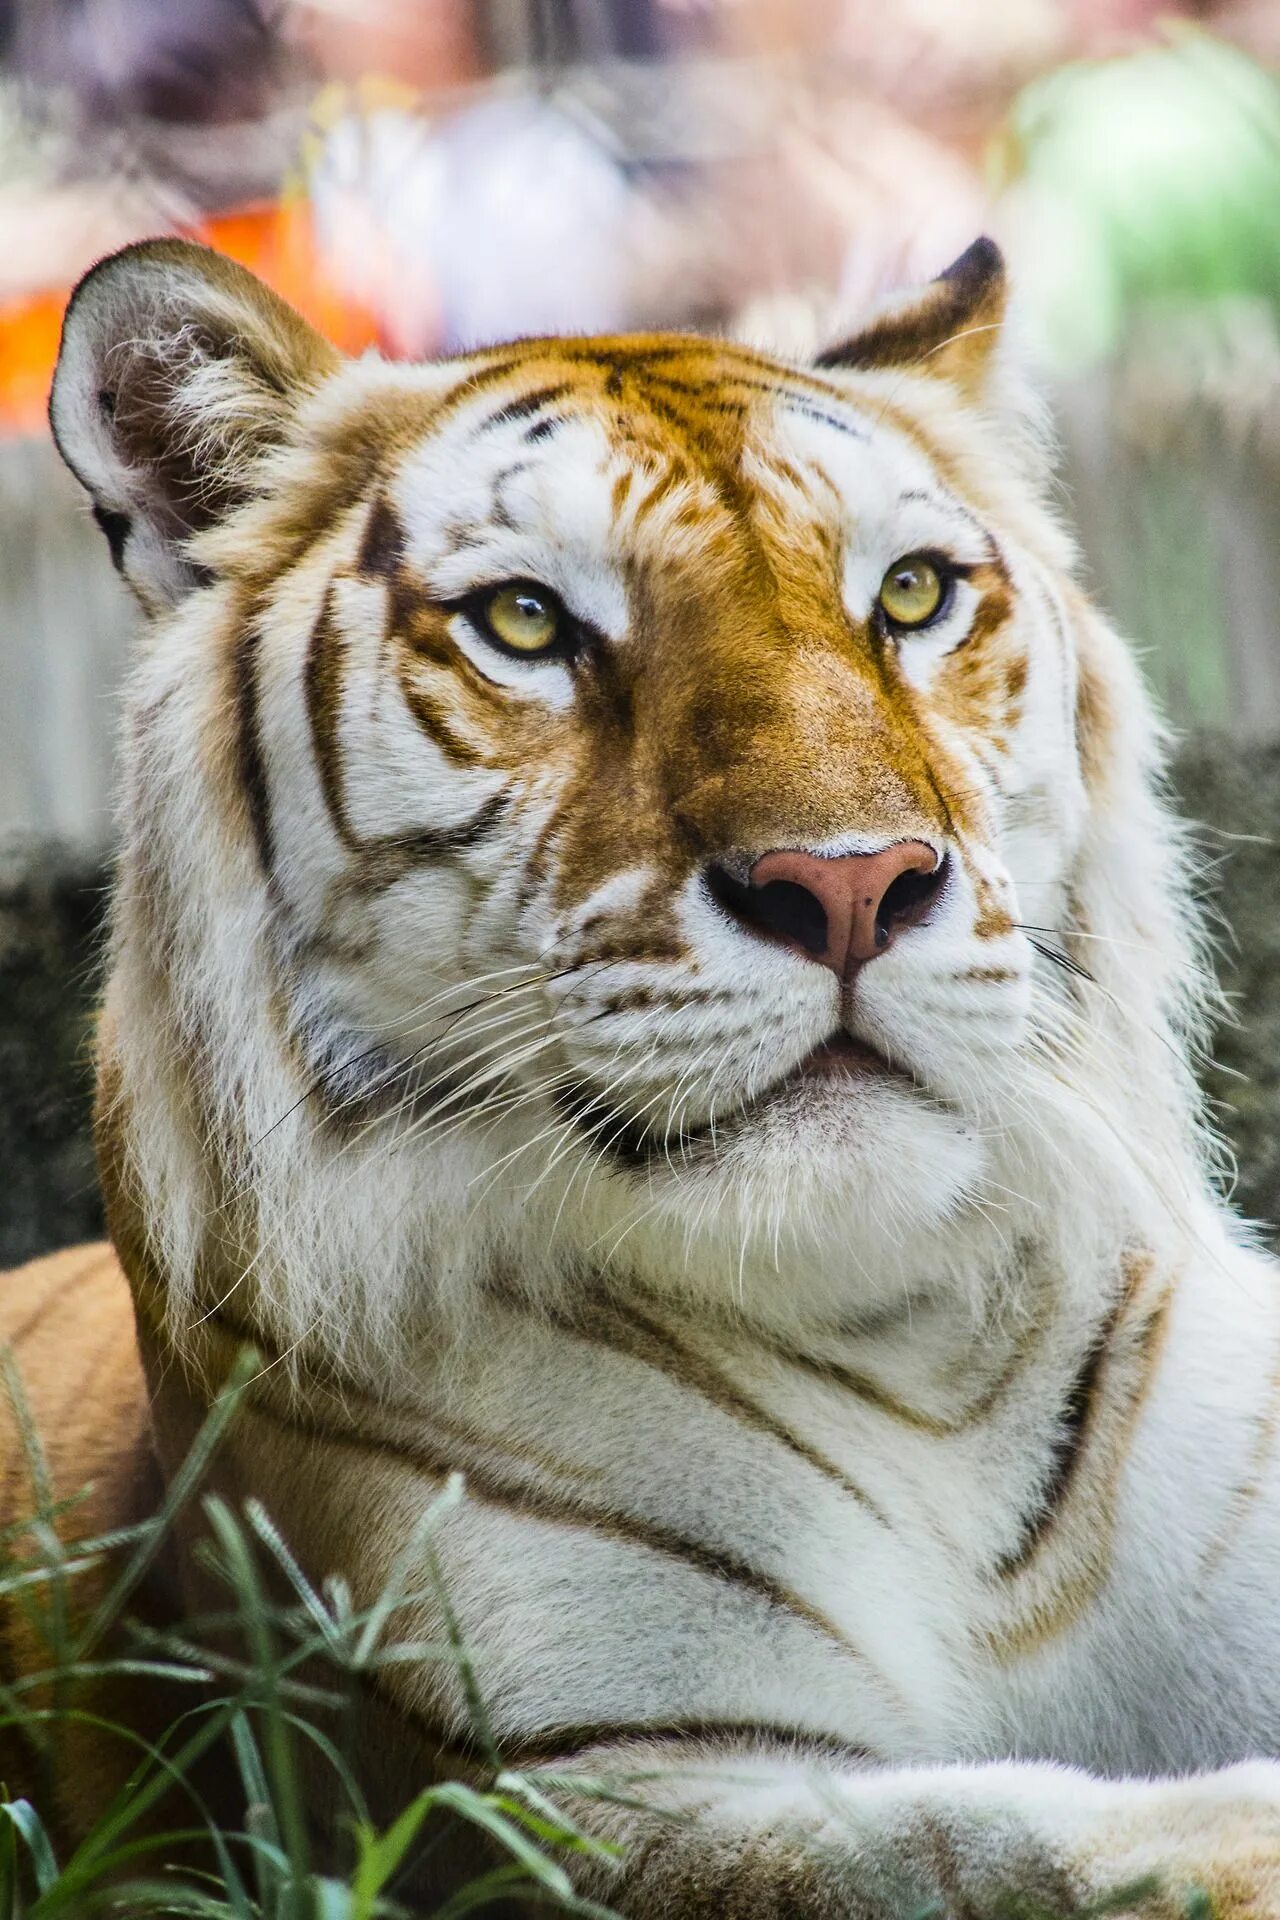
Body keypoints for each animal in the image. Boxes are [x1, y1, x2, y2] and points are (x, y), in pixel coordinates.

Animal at [2, 240, 1280, 1920]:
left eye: (913, 595)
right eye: (528, 621)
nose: (849, 885)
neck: (914, 1359)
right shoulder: (588, 1791)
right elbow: (1000, 1846)